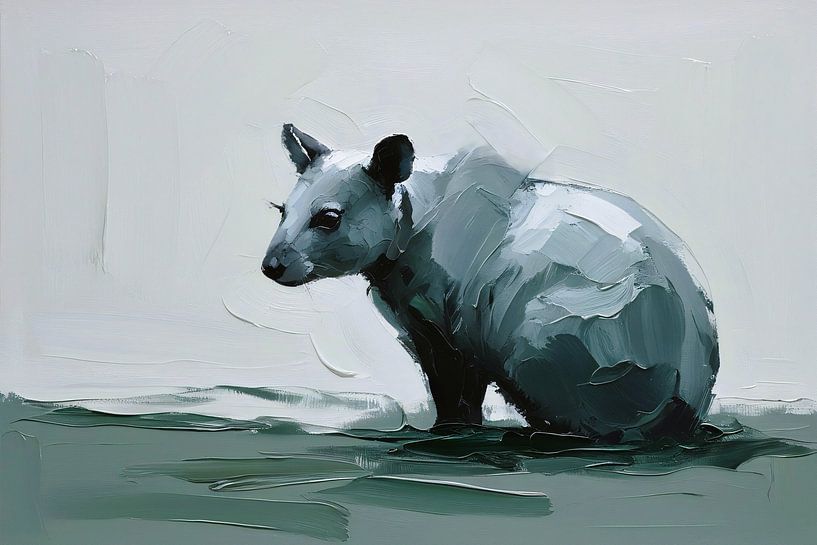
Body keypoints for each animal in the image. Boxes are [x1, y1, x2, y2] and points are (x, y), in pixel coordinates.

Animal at [262, 124, 719, 441]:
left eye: (328, 218)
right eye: (280, 210)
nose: (270, 266)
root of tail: (685, 406)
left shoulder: (450, 329)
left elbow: (453, 396)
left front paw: (449, 434)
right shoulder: (444, 329)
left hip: (546, 338)